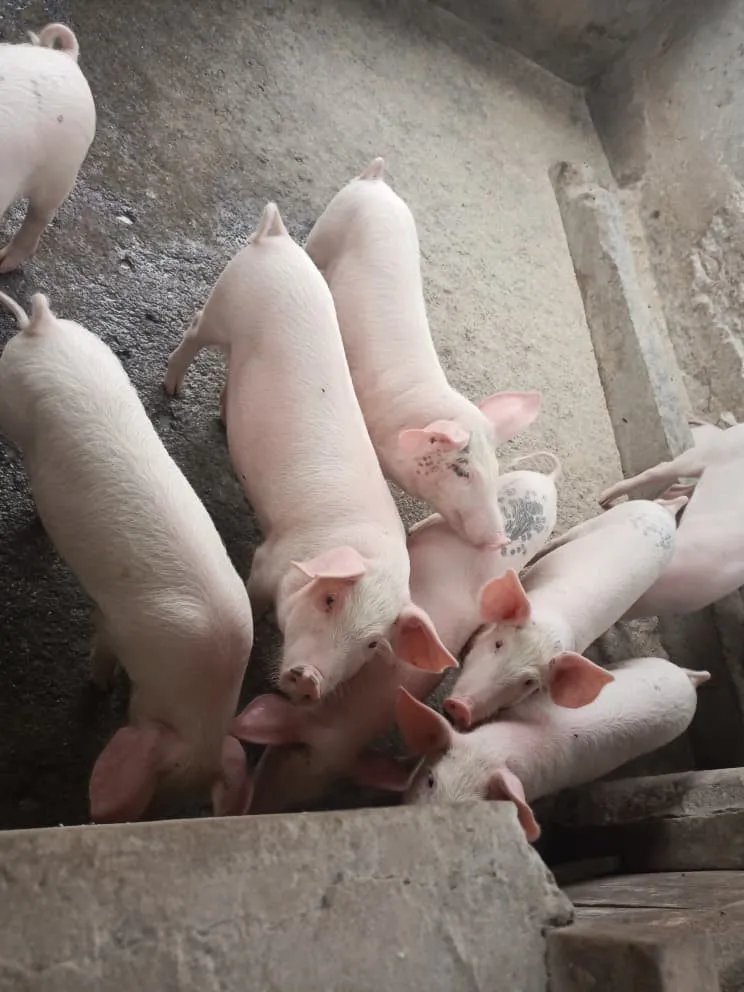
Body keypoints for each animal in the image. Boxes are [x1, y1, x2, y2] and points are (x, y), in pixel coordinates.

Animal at [0, 291, 254, 822]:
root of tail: (42, 327)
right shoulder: (117, 626)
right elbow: (100, 646)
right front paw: (99, 687)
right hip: (5, 397)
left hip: (95, 351)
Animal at [164, 202, 456, 705]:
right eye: (329, 599)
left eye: (372, 643)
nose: (309, 678)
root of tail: (277, 239)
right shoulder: (270, 559)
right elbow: (254, 597)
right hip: (225, 302)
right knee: (195, 330)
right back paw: (171, 390)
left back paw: (221, 419)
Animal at [444, 498, 683, 728]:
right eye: (498, 644)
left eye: (529, 682)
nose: (461, 707)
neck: (553, 623)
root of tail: (666, 512)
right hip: (597, 521)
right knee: (559, 541)